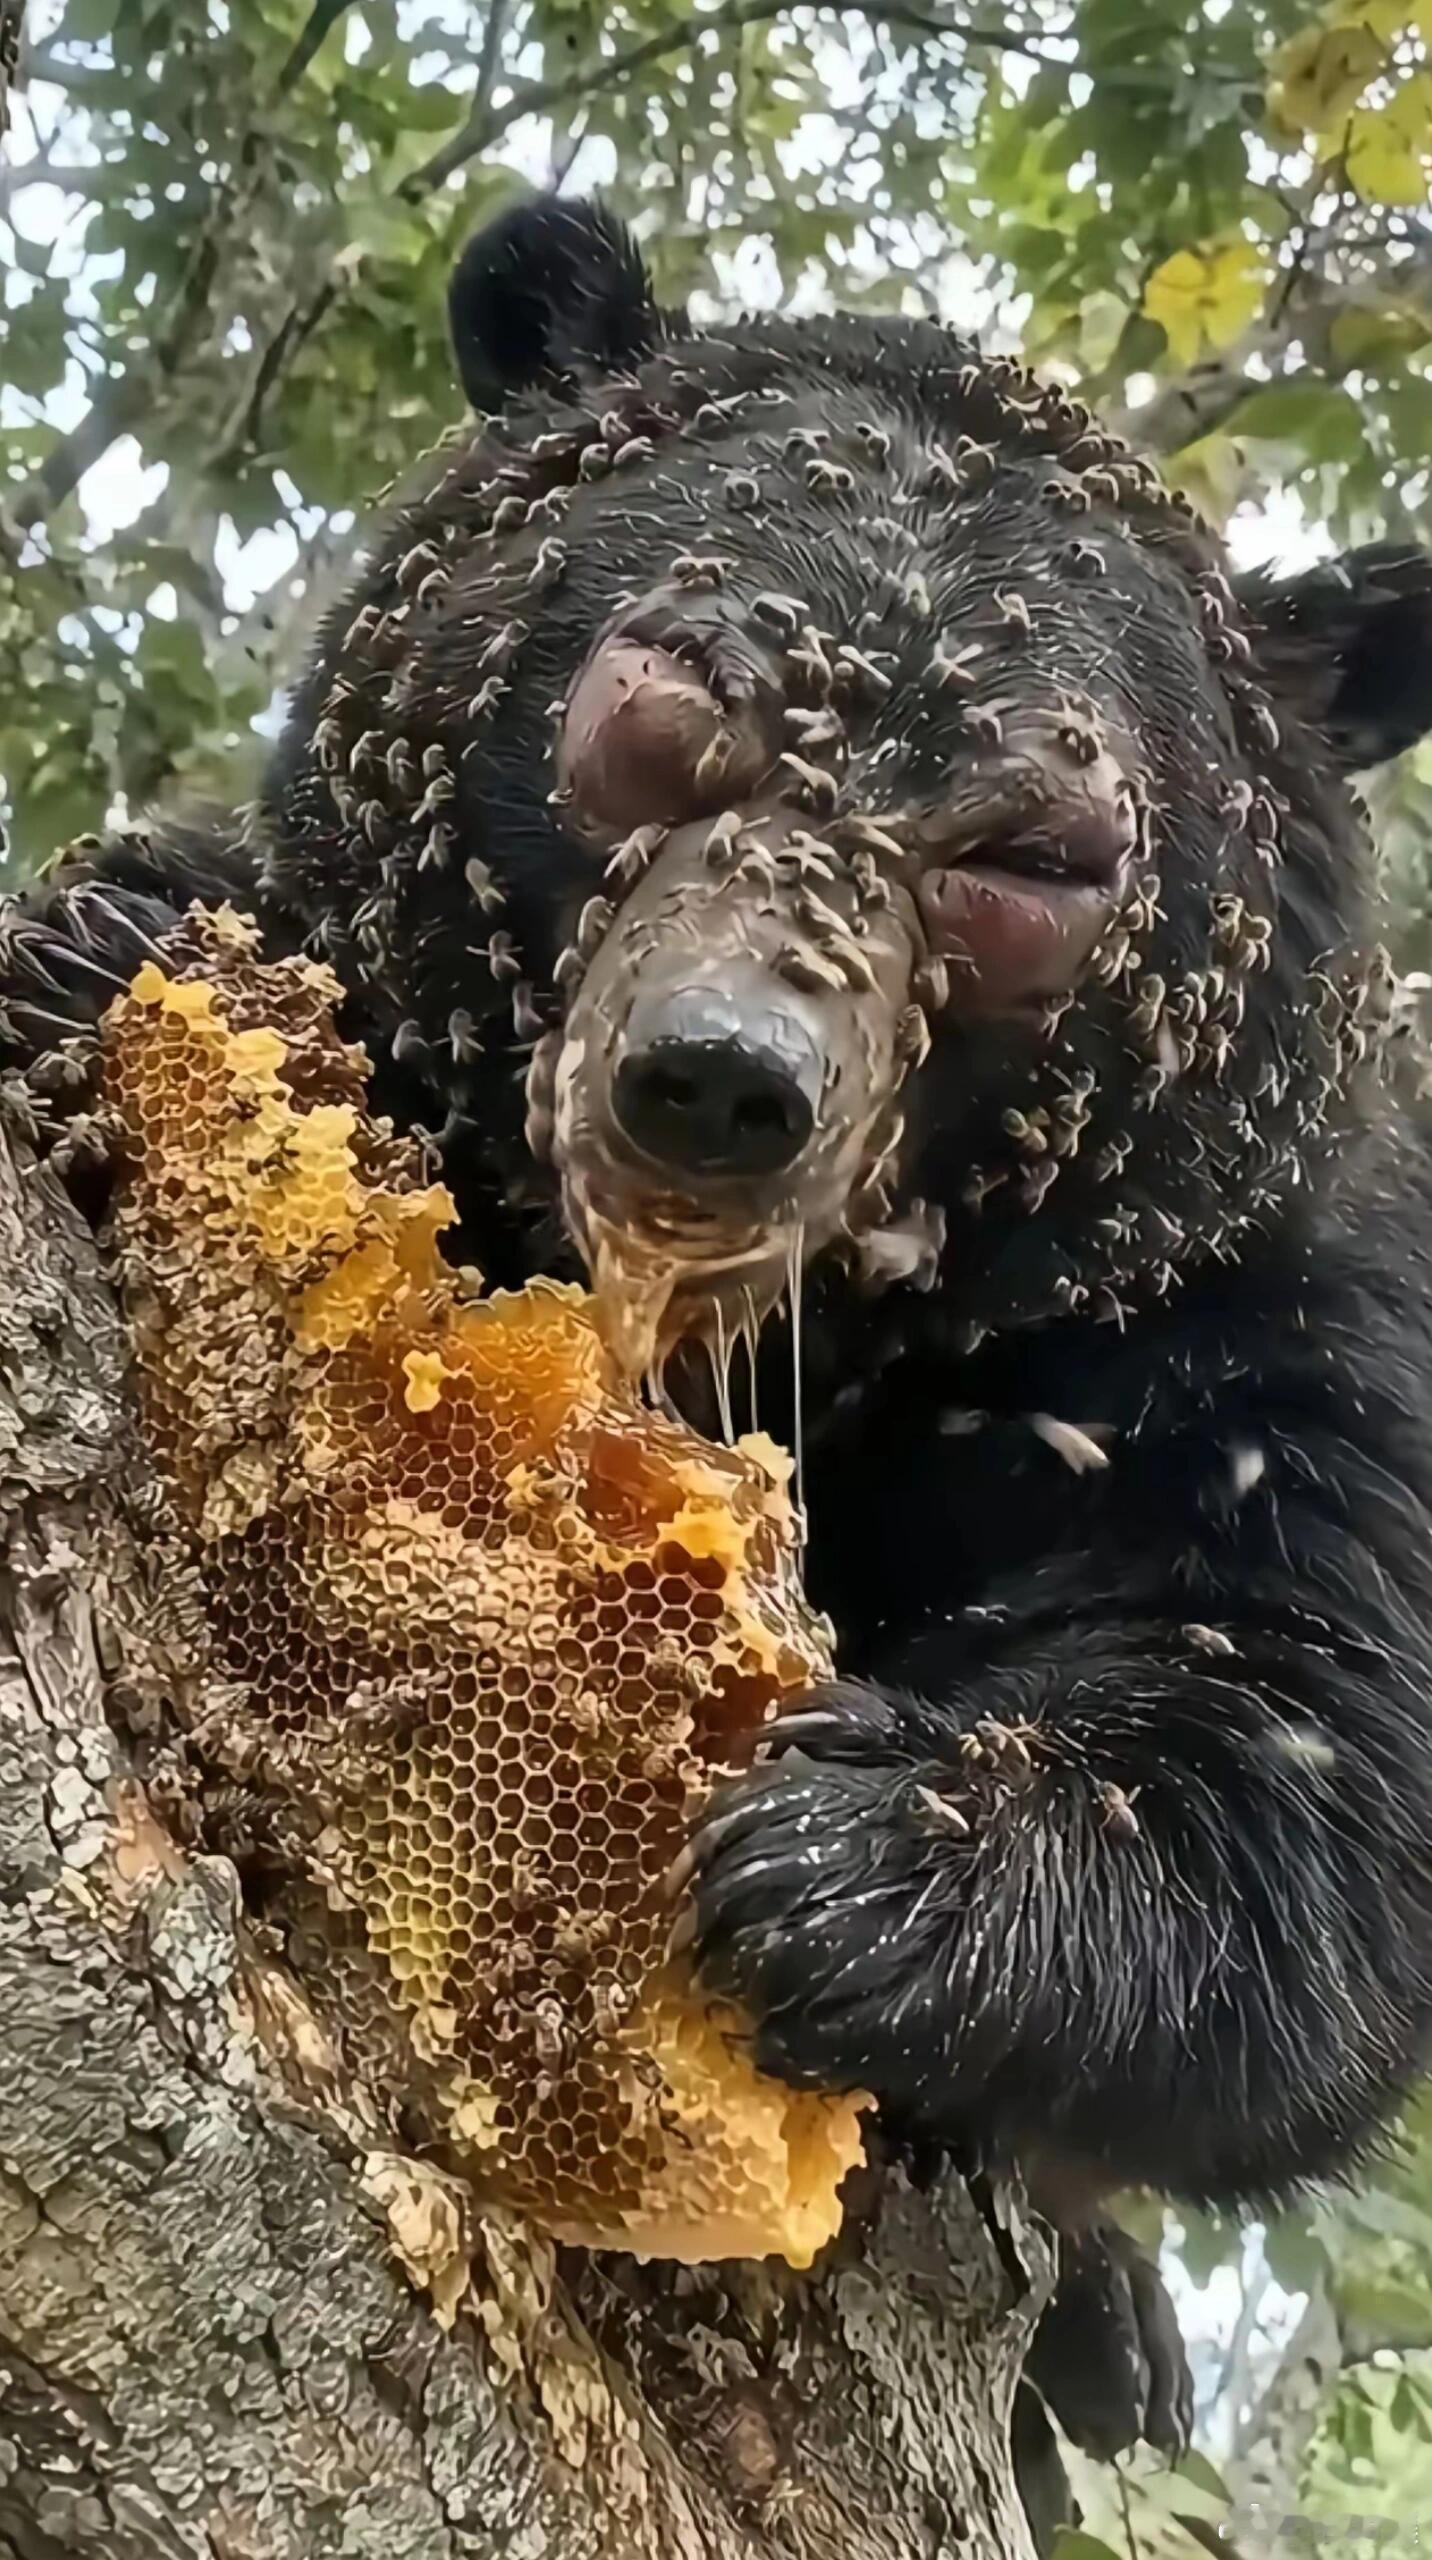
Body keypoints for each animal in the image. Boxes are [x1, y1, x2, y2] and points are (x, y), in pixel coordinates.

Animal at [8, 192, 1432, 2527]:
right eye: (664, 704)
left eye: (1029, 859)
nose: (715, 1079)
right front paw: (109, 963)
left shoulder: (1248, 1287)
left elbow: (1304, 1693)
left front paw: (862, 1852)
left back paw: (1106, 2331)